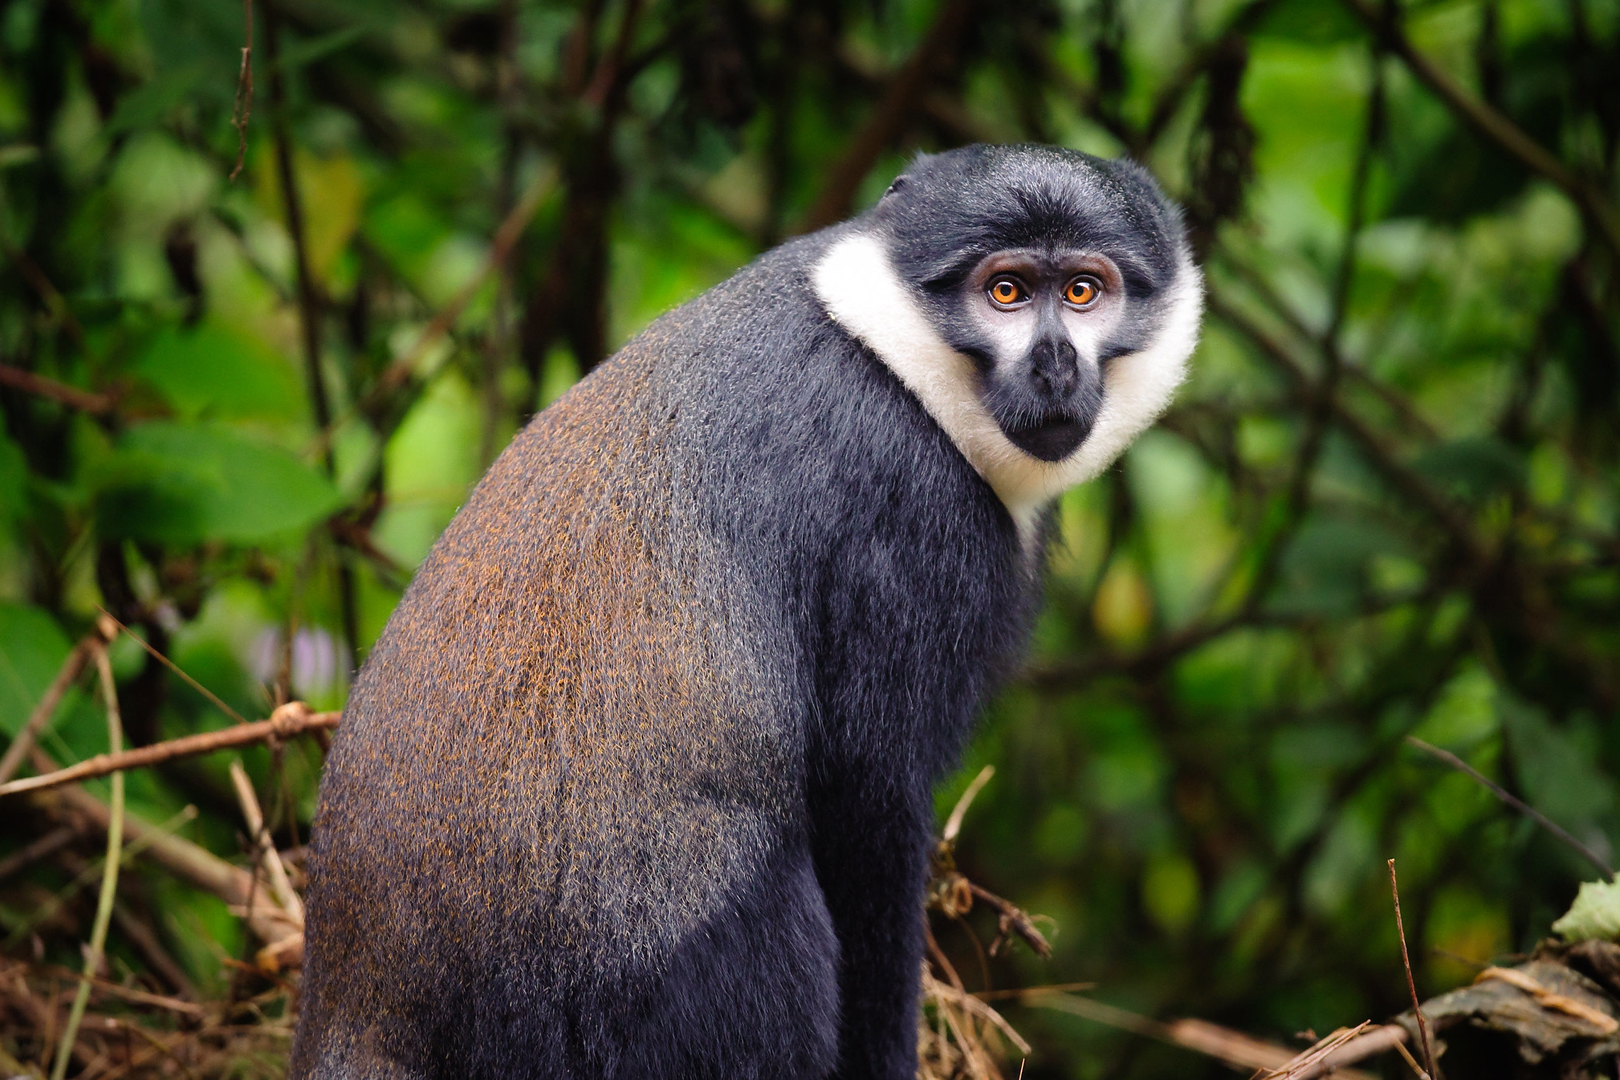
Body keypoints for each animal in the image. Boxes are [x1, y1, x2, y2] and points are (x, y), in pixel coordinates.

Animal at [294, 145, 1205, 1080]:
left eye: (1085, 291)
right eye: (1008, 291)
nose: (1056, 366)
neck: (891, 349)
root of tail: (364, 1013)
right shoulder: (907, 514)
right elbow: (867, 797)